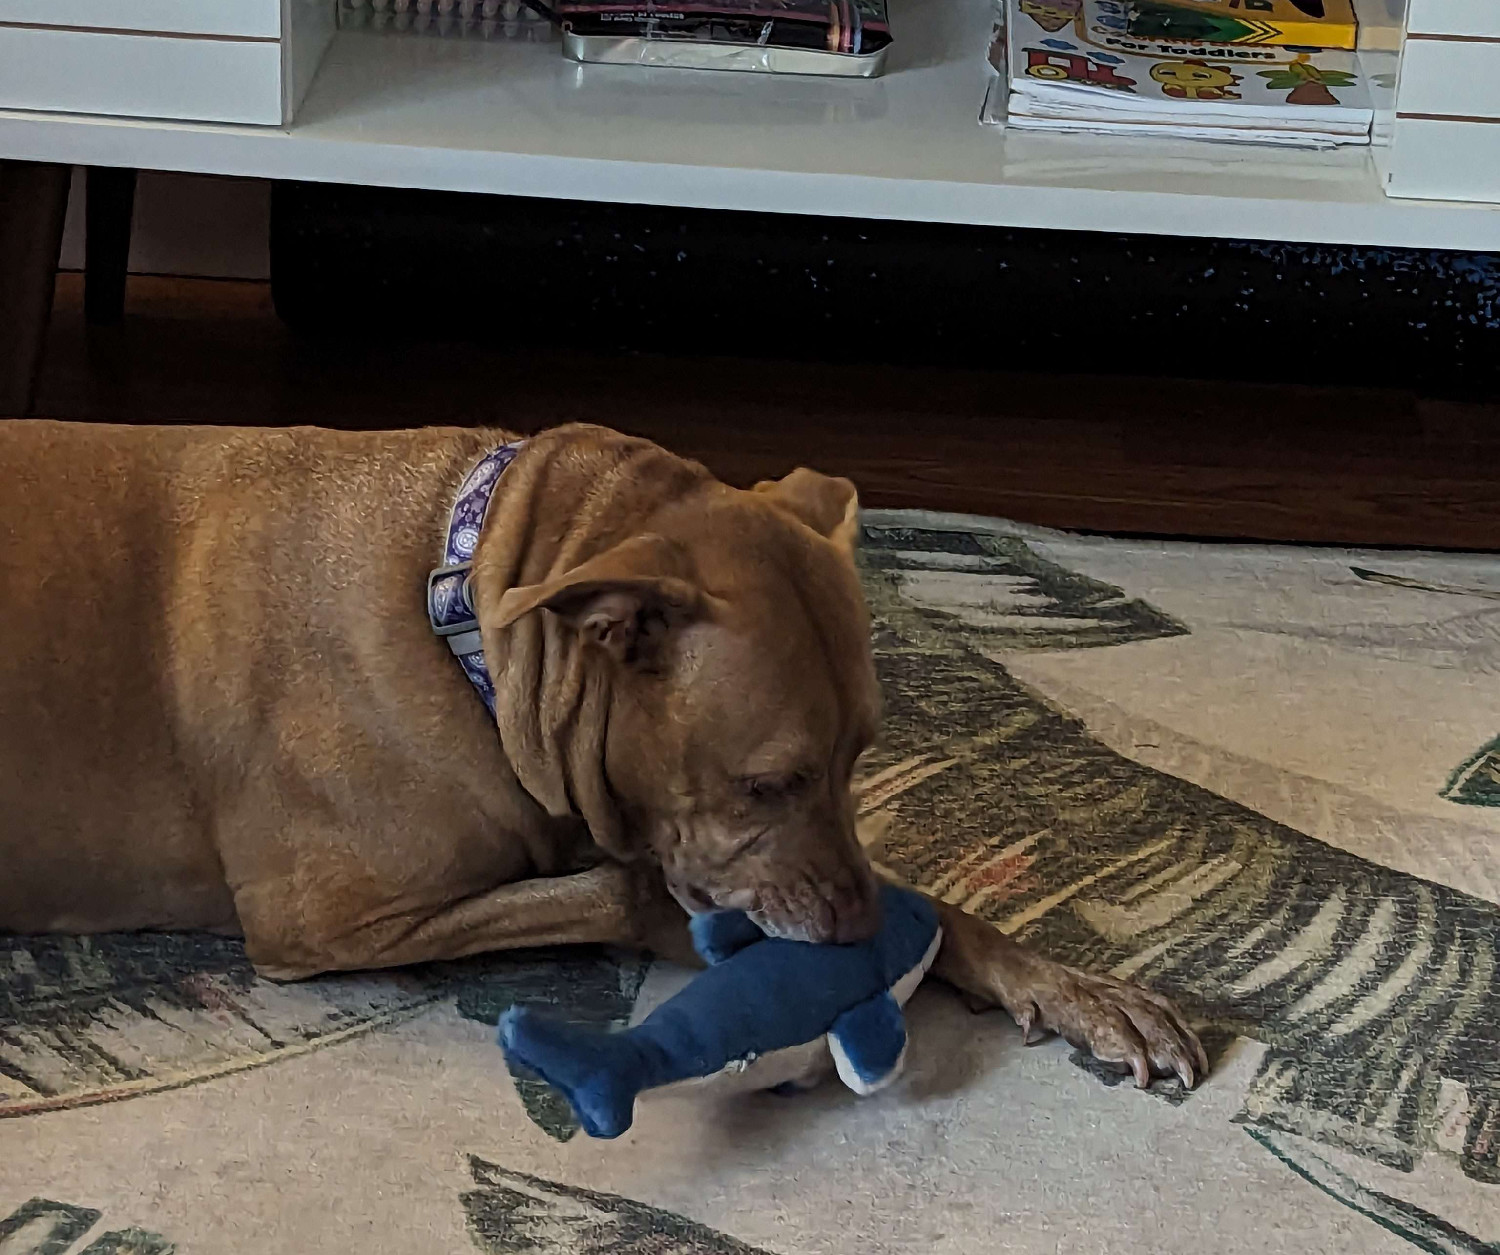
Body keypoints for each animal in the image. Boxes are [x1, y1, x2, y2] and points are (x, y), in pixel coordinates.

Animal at [0, 419, 1200, 1085]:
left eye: (865, 755)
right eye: (765, 782)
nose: (860, 932)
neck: (462, 596)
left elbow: (936, 901)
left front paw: (1071, 986)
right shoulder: (328, 922)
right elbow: (624, 890)